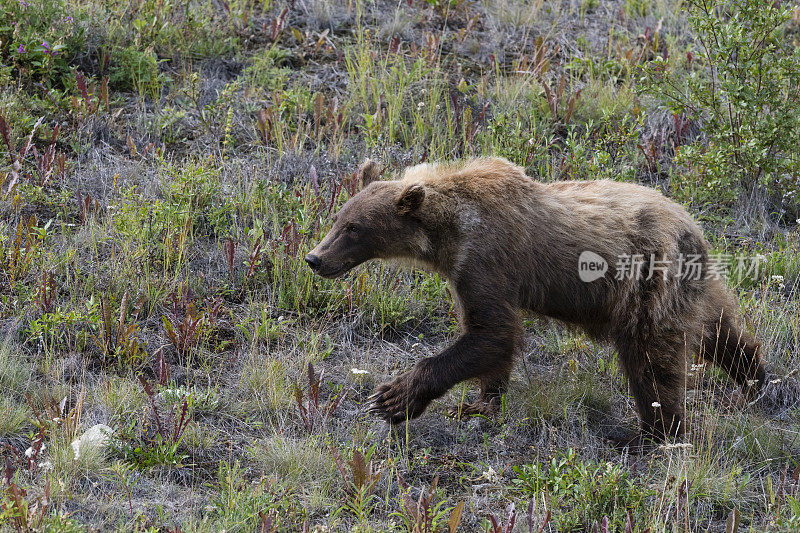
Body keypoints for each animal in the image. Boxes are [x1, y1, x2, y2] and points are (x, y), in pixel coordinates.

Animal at [304, 157, 764, 440]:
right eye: (339, 218)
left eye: (355, 229)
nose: (315, 258)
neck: (448, 232)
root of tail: (691, 225)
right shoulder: (463, 273)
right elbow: (487, 336)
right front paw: (480, 403)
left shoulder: (487, 260)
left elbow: (492, 333)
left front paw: (392, 398)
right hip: (695, 287)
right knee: (721, 333)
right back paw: (754, 378)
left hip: (646, 283)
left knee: (653, 358)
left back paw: (658, 431)